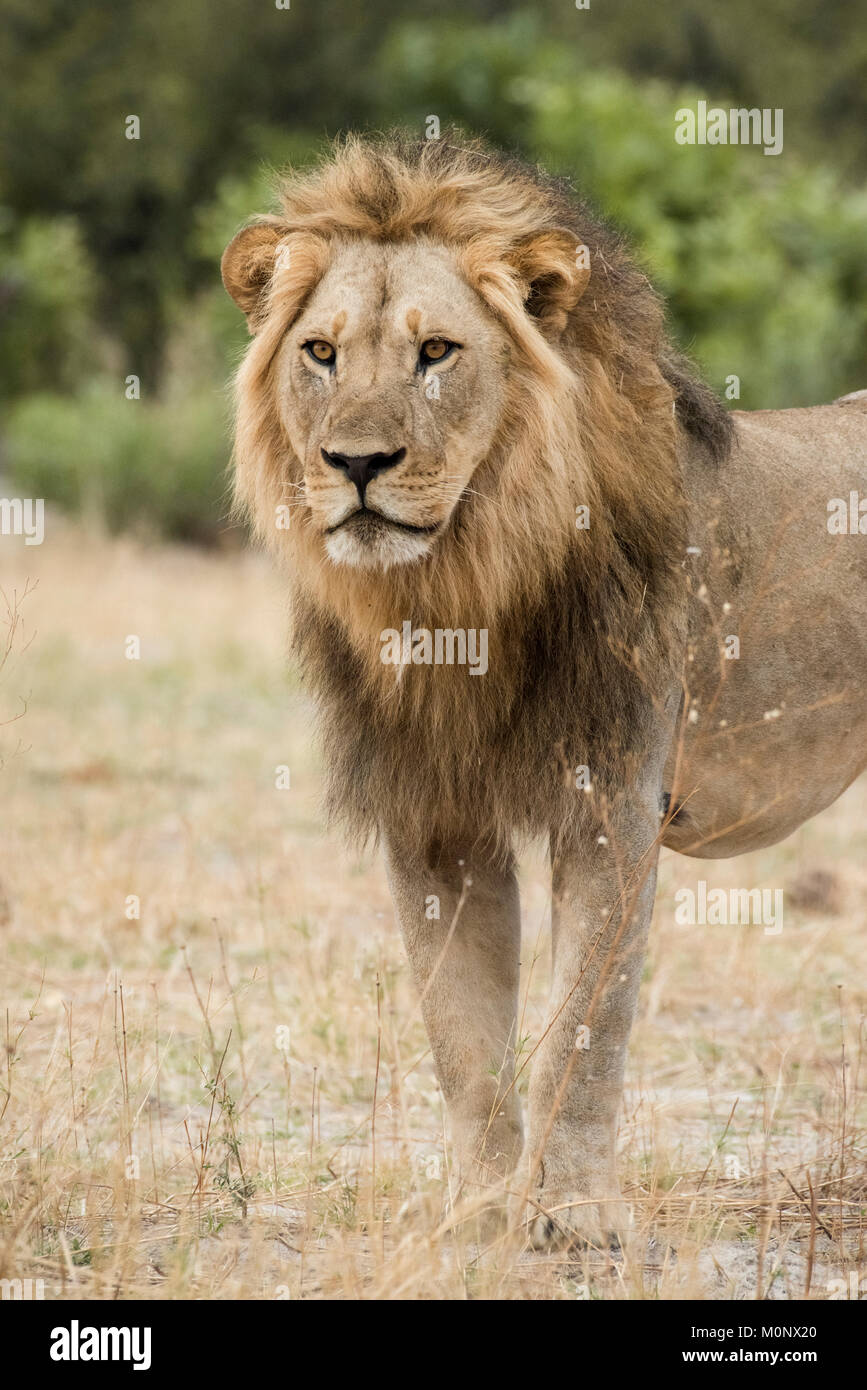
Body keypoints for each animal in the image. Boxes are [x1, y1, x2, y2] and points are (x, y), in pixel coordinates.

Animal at [222, 132, 867, 1249]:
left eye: (437, 352)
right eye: (322, 354)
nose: (355, 463)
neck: (456, 595)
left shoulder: (614, 801)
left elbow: (583, 1029)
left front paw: (574, 1218)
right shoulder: (432, 821)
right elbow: (462, 1037)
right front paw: (479, 1213)